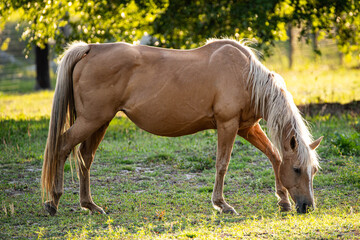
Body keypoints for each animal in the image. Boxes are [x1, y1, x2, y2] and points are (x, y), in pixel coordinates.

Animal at [42, 39, 324, 216]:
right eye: (297, 170)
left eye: (313, 171)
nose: (307, 207)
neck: (245, 75)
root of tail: (90, 49)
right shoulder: (228, 125)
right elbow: (222, 164)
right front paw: (222, 205)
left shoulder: (247, 127)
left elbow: (274, 157)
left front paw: (283, 201)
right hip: (91, 121)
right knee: (63, 146)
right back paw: (53, 201)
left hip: (100, 122)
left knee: (84, 158)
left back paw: (90, 205)